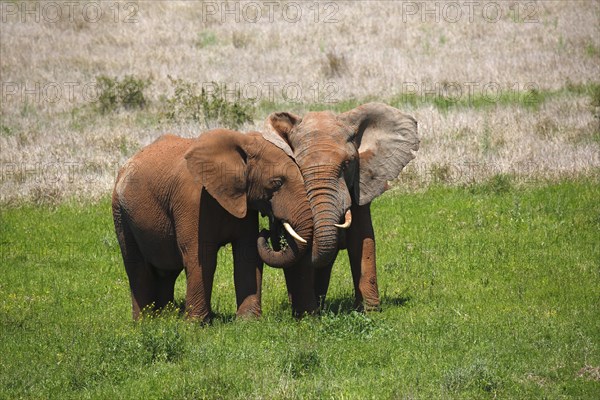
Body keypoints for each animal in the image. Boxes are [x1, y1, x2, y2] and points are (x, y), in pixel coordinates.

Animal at [110, 129, 314, 322]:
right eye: (277, 183)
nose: (266, 229)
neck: (242, 142)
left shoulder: (243, 201)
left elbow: (246, 253)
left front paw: (248, 322)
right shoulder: (191, 200)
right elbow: (202, 256)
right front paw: (196, 325)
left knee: (166, 272)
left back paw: (165, 318)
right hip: (120, 213)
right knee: (137, 268)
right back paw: (145, 323)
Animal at [262, 102, 418, 316]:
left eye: (347, 164)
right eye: (297, 167)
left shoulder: (361, 182)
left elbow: (362, 239)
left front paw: (369, 312)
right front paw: (308, 316)